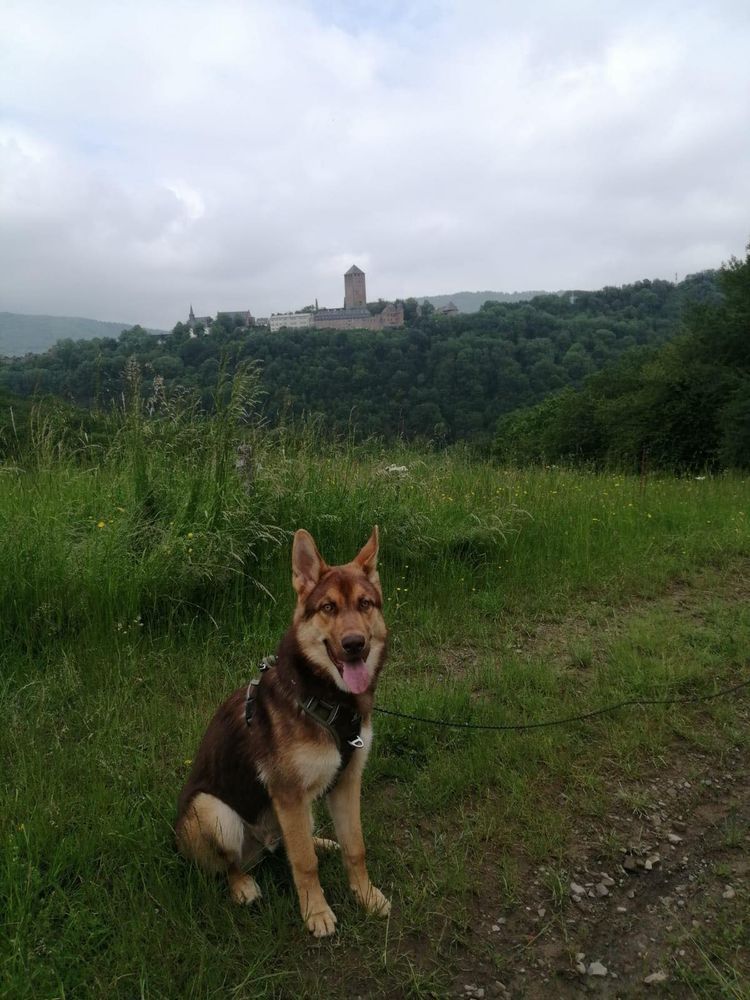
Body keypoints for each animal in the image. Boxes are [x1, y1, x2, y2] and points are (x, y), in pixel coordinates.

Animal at [174, 528, 390, 932]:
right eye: (328, 608)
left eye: (366, 604)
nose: (355, 645)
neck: (325, 698)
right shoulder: (288, 793)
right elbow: (304, 864)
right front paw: (316, 912)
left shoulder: (347, 781)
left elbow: (355, 847)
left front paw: (366, 896)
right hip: (213, 812)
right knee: (229, 865)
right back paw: (242, 885)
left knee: (294, 841)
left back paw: (321, 841)